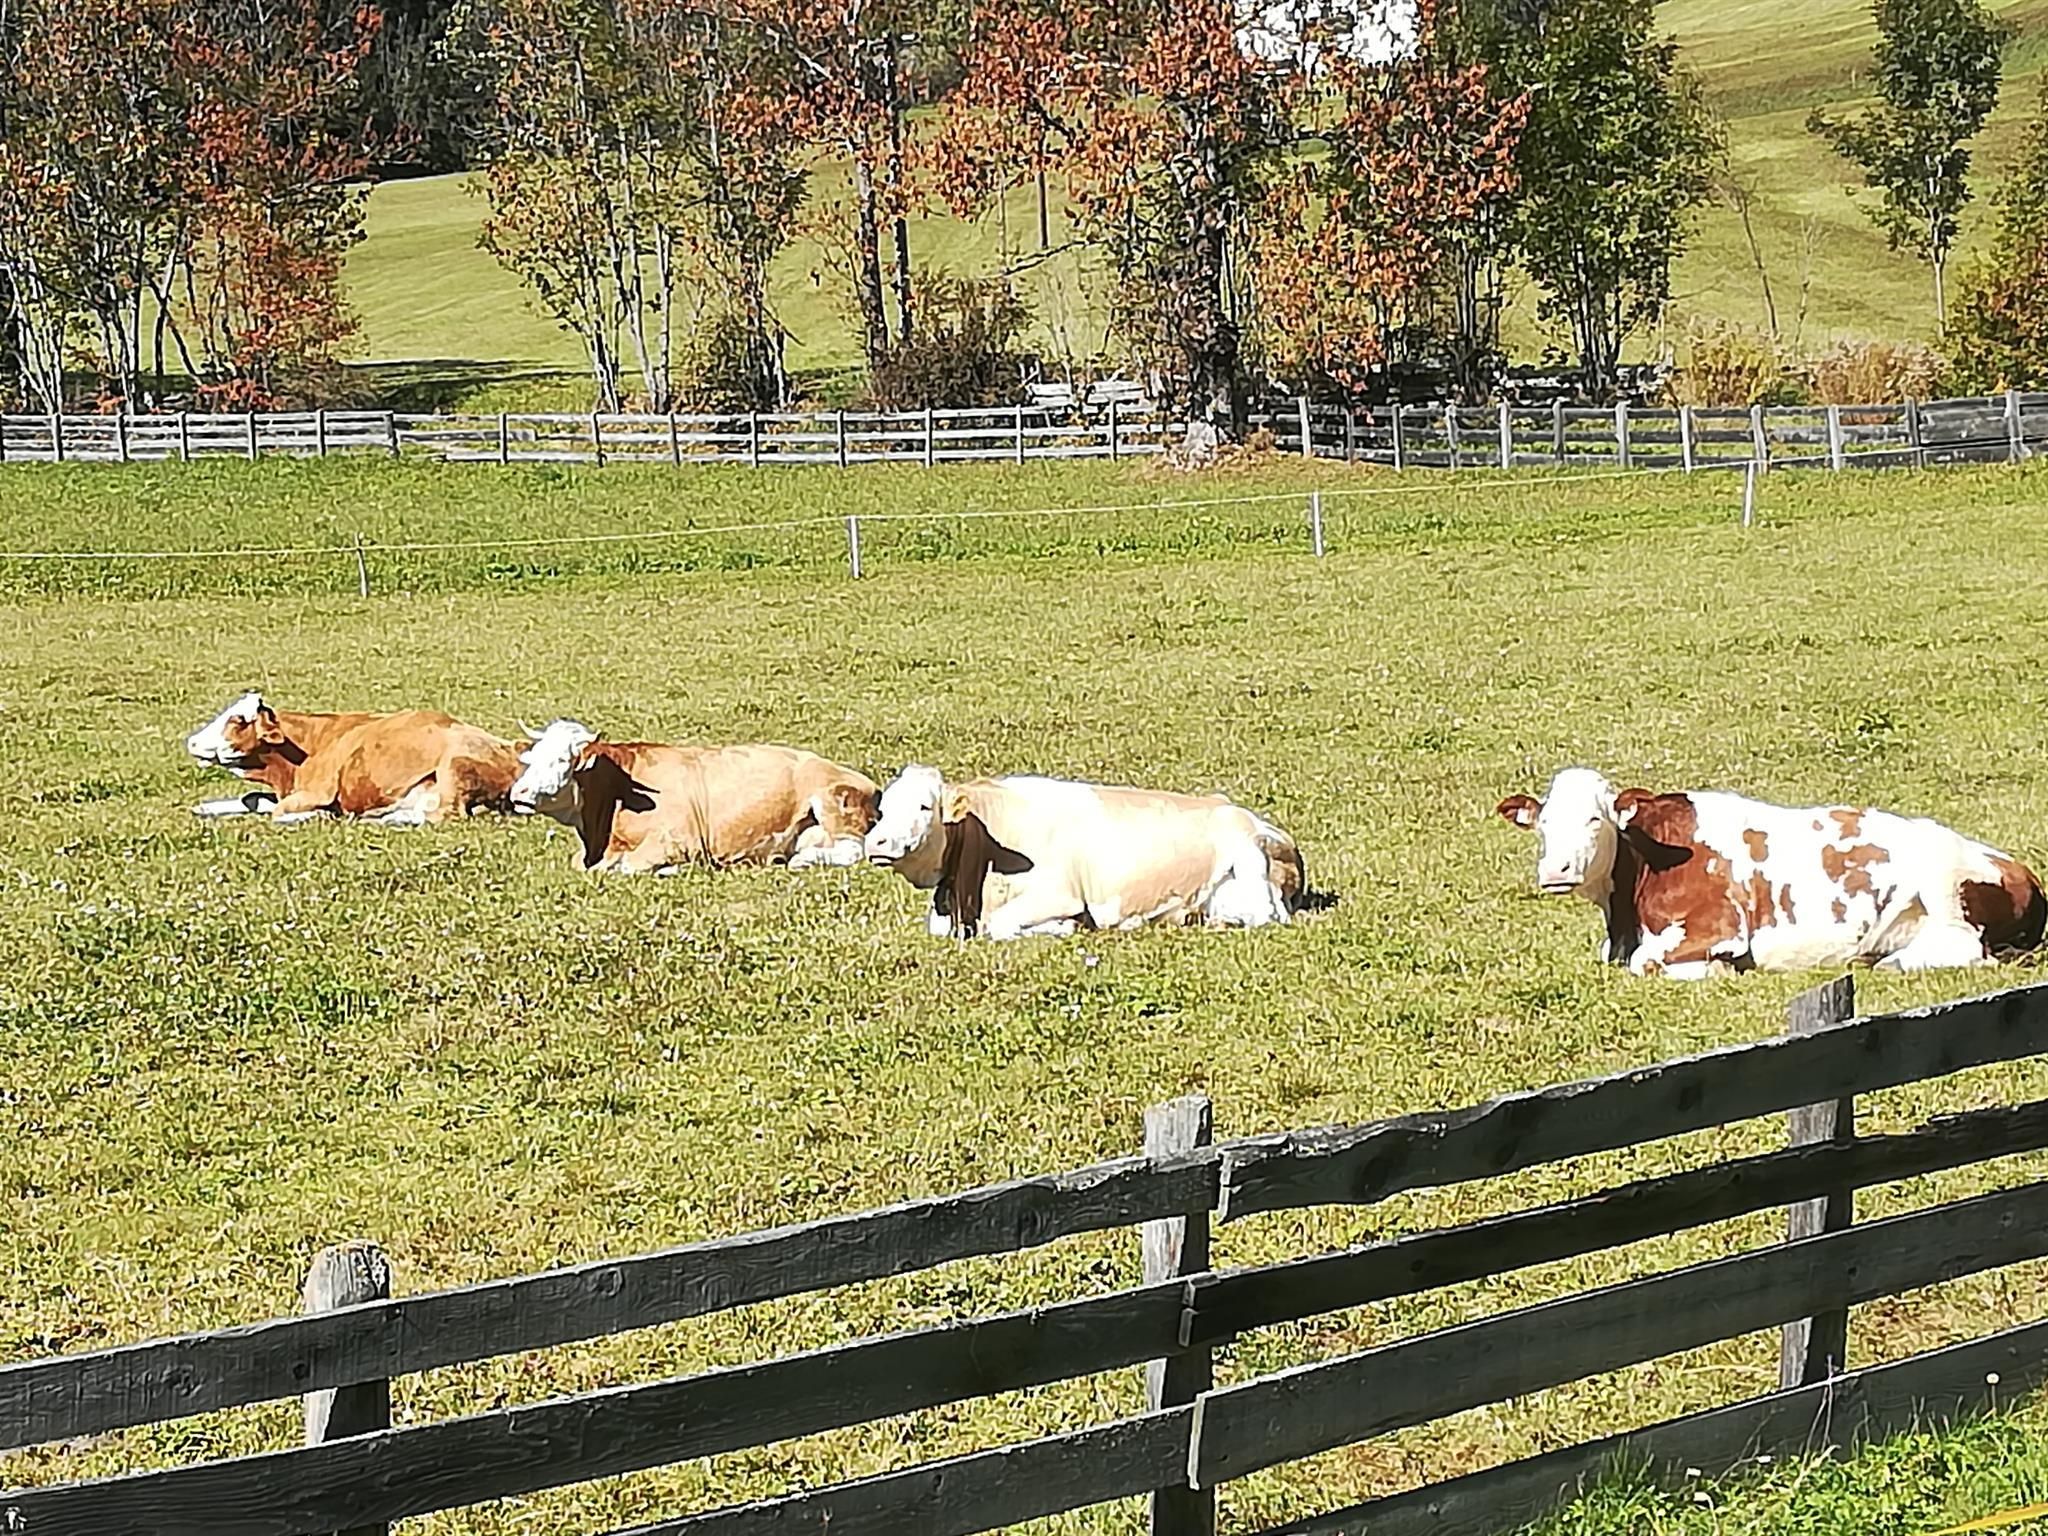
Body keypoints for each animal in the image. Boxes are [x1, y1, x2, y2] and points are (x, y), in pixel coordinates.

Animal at [185, 692, 525, 825]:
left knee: (446, 813)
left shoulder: (316, 791)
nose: (192, 741)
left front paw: (319, 817)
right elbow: (252, 798)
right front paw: (205, 808)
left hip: (453, 765)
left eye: (238, 720)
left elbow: (276, 812)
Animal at [508, 718, 880, 873]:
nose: (518, 793)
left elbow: (628, 867)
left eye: (561, 760)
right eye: (530, 757)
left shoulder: (679, 840)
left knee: (853, 850)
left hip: (832, 804)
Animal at [863, 764, 1305, 939]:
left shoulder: (1060, 894)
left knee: (1269, 917)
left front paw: (1064, 928)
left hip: (1248, 856)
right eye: (883, 809)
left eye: (924, 806)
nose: (876, 842)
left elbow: (1004, 925)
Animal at [1495, 766, 2046, 977]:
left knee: (1967, 949)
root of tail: (2023, 872)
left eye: (1596, 819)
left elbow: (1646, 962)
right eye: (1544, 823)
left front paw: (1714, 969)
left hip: (1942, 881)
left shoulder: (1718, 925)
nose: (1556, 870)